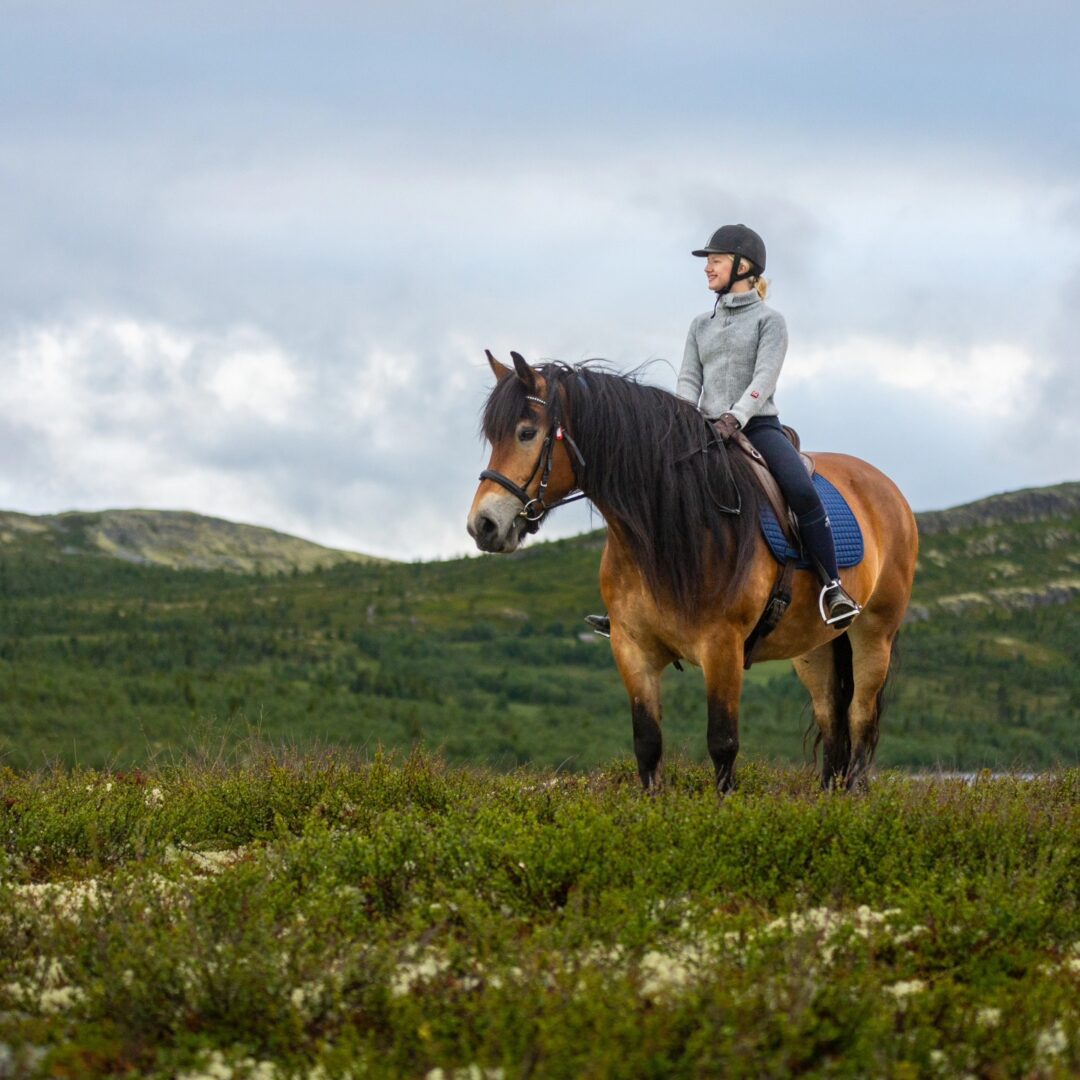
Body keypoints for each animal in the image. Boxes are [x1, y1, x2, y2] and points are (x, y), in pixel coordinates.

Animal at [467, 351, 918, 793]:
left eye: (526, 433)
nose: (482, 526)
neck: (668, 526)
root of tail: (889, 490)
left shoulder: (722, 648)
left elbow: (723, 744)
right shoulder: (633, 649)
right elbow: (648, 746)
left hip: (873, 635)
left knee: (860, 719)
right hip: (814, 647)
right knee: (832, 723)